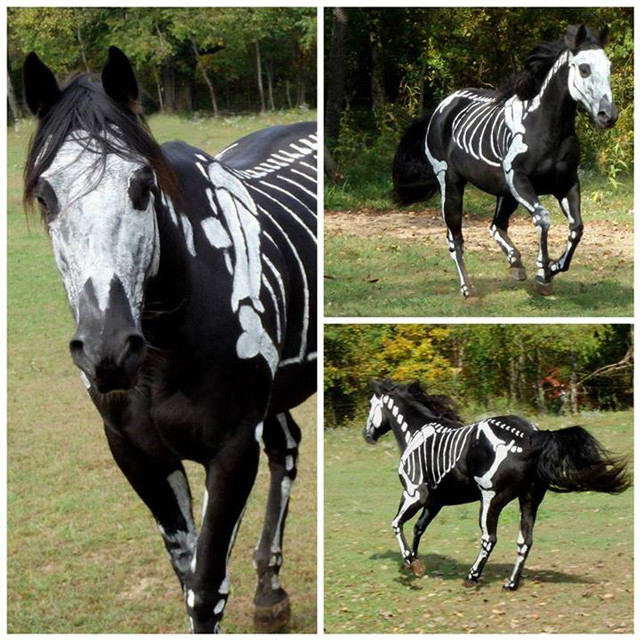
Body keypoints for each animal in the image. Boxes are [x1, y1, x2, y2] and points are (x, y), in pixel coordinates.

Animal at [23, 46, 317, 633]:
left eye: (142, 186)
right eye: (45, 196)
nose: (108, 350)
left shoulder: (232, 450)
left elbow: (205, 589)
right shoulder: (135, 453)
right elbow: (186, 574)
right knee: (287, 445)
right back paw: (270, 590)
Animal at [363, 380, 629, 589]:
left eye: (370, 405)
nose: (367, 435)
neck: (416, 433)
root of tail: (531, 435)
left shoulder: (414, 493)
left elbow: (396, 524)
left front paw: (409, 561)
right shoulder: (435, 501)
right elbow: (418, 528)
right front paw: (413, 562)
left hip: (491, 499)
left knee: (489, 538)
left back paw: (472, 576)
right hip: (529, 499)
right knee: (525, 541)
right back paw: (511, 583)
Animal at [392, 24, 617, 298]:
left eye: (609, 67)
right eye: (584, 68)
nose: (608, 115)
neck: (546, 127)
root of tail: (442, 107)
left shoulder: (566, 184)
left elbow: (577, 228)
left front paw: (553, 267)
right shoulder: (518, 179)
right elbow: (543, 219)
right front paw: (542, 274)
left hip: (505, 193)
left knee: (495, 226)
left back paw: (516, 263)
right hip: (452, 184)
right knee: (455, 238)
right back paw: (468, 288)